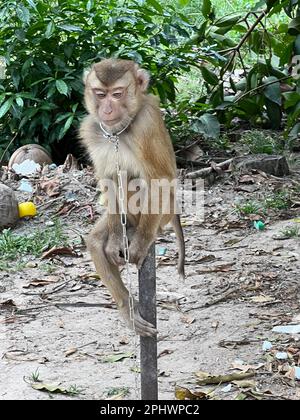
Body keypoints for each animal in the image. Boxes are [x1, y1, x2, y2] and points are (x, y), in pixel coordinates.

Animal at [81, 59, 185, 336]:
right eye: (100, 94)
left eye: (117, 94)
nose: (107, 109)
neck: (119, 132)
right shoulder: (91, 130)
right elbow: (107, 179)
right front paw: (115, 239)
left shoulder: (146, 124)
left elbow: (159, 179)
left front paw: (141, 243)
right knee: (96, 240)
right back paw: (127, 307)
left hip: (165, 212)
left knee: (136, 181)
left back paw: (142, 232)